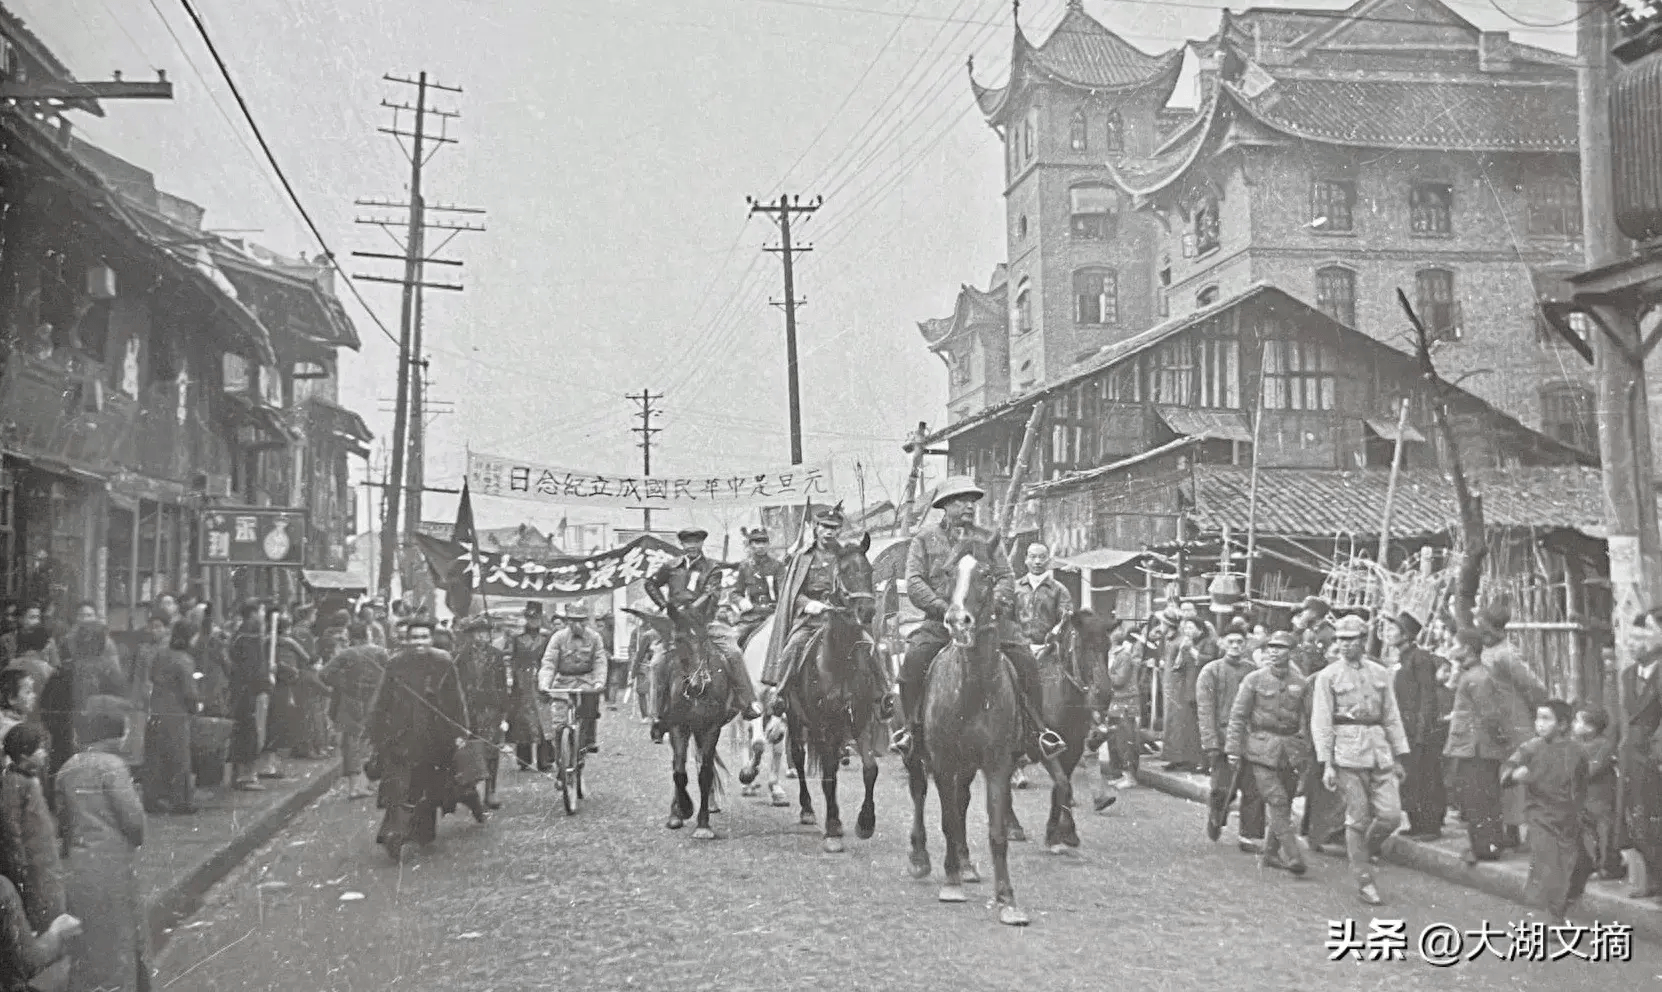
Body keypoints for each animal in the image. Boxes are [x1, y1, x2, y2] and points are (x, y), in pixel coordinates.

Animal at [624, 594, 731, 844]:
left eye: (704, 637)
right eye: (680, 640)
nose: (699, 683)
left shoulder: (710, 728)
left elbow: (705, 774)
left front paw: (703, 824)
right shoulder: (678, 726)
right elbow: (679, 773)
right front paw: (682, 810)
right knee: (677, 763)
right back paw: (676, 812)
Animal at [734, 614, 791, 807]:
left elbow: (777, 743)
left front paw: (776, 790)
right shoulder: (756, 703)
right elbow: (758, 743)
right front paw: (747, 774)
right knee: (744, 739)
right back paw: (747, 783)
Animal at [777, 535, 884, 850]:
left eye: (869, 570)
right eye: (844, 571)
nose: (867, 611)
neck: (840, 660)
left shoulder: (860, 718)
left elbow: (870, 768)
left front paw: (865, 823)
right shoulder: (823, 725)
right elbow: (827, 776)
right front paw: (833, 829)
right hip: (797, 718)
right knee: (800, 757)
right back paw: (808, 810)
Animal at [904, 538, 1030, 923]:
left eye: (987, 574)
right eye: (947, 572)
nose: (958, 620)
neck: (973, 689)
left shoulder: (998, 763)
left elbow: (995, 830)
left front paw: (1007, 899)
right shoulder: (943, 761)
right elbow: (946, 819)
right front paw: (951, 883)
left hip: (969, 764)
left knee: (961, 802)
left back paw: (965, 862)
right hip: (917, 756)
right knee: (919, 793)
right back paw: (921, 859)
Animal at [997, 608, 1116, 847]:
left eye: (1108, 646)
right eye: (1082, 645)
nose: (1104, 694)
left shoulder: (1073, 748)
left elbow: (1063, 785)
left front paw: (1065, 831)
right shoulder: (1045, 745)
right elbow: (1062, 783)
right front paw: (1056, 832)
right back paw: (1012, 825)